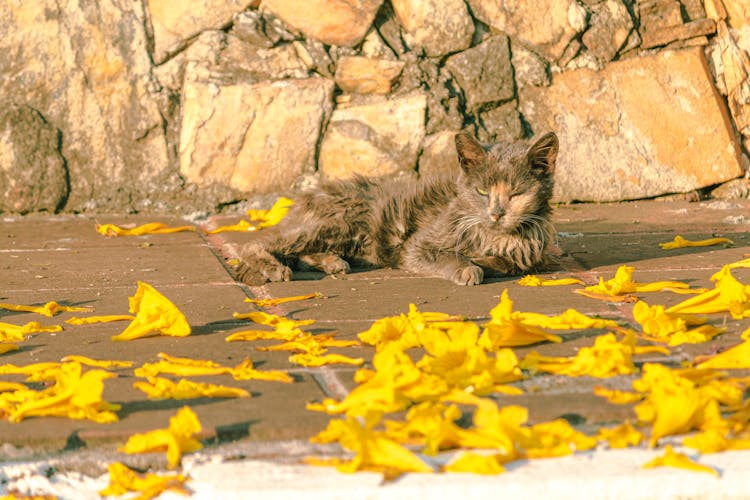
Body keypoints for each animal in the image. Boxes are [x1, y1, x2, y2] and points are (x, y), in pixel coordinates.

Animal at [235, 131, 560, 288]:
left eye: (516, 193)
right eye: (482, 191)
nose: (496, 213)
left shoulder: (530, 254)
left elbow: (508, 262)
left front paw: (485, 260)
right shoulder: (416, 246)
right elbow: (448, 256)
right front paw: (468, 268)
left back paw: (332, 262)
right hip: (340, 220)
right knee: (257, 244)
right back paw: (274, 267)